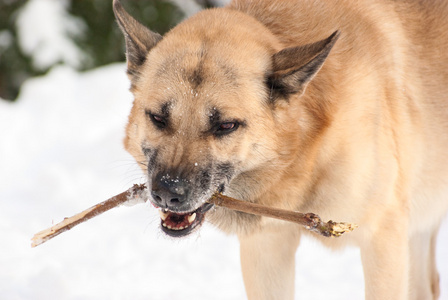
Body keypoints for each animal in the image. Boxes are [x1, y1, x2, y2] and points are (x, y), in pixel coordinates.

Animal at [113, 0, 448, 298]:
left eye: (226, 125)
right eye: (158, 118)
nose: (168, 192)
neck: (306, 151)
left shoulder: (383, 240)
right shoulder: (267, 247)